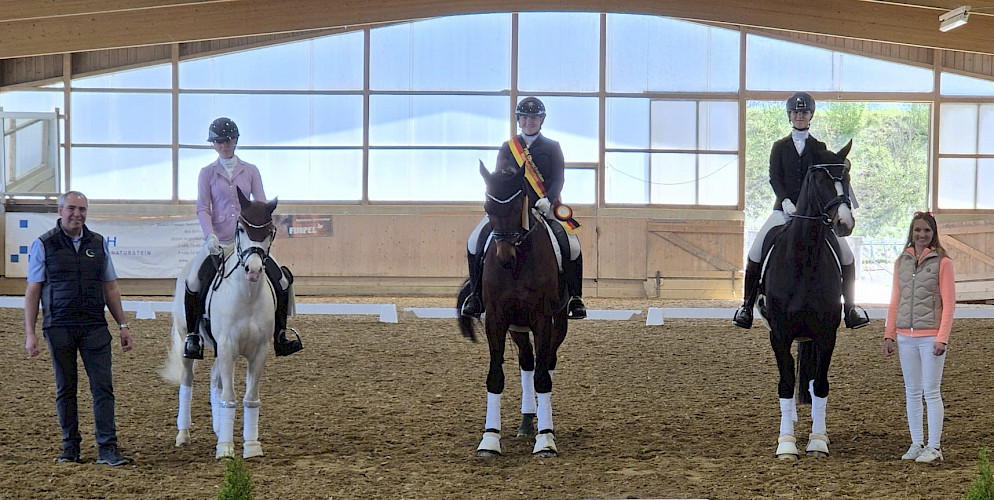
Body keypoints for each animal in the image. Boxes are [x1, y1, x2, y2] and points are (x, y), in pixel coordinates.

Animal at [162, 187, 279, 460]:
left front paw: (251, 446)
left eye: (269, 231)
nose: (253, 270)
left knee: (215, 379)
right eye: (241, 229)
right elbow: (229, 396)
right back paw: (183, 434)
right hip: (189, 341)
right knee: (187, 380)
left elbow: (250, 398)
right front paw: (226, 449)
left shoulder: (259, 351)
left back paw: (217, 428)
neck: (247, 295)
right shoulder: (227, 347)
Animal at [456, 160, 568, 458]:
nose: (504, 258)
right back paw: (527, 423)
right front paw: (489, 440)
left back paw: (540, 424)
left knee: (546, 363)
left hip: (559, 322)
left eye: (519, 204)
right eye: (487, 207)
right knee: (527, 362)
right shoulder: (496, 319)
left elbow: (543, 377)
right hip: (518, 327)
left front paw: (546, 439)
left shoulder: (543, 319)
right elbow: (496, 377)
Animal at [756, 141, 855, 460]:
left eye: (846, 178)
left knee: (811, 382)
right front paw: (786, 443)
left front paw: (818, 441)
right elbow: (786, 384)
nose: (844, 223)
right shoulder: (779, 335)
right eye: (820, 180)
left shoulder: (826, 334)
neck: (803, 258)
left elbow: (820, 385)